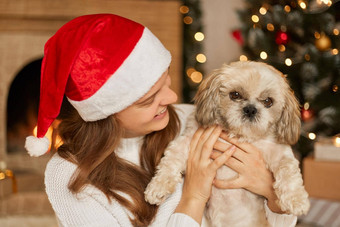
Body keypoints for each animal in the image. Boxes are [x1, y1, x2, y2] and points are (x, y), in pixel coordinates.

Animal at [145, 61, 310, 226]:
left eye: (268, 101)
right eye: (235, 95)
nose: (250, 109)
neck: (237, 134)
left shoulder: (279, 153)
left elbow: (288, 170)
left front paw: (297, 200)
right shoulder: (187, 140)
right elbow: (170, 160)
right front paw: (158, 186)